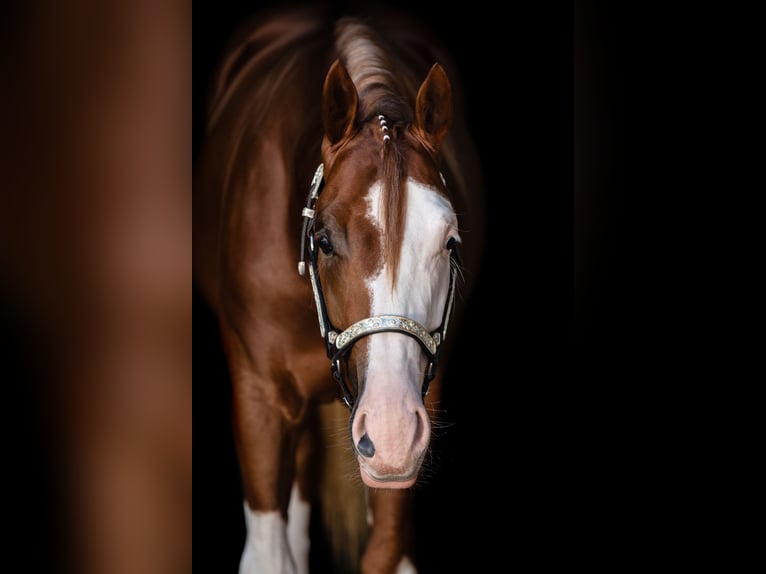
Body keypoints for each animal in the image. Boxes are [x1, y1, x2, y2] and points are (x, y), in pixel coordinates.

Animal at [195, 3, 486, 572]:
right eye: (324, 240)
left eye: (450, 242)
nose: (391, 431)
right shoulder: (258, 399)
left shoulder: (425, 399)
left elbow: (386, 548)